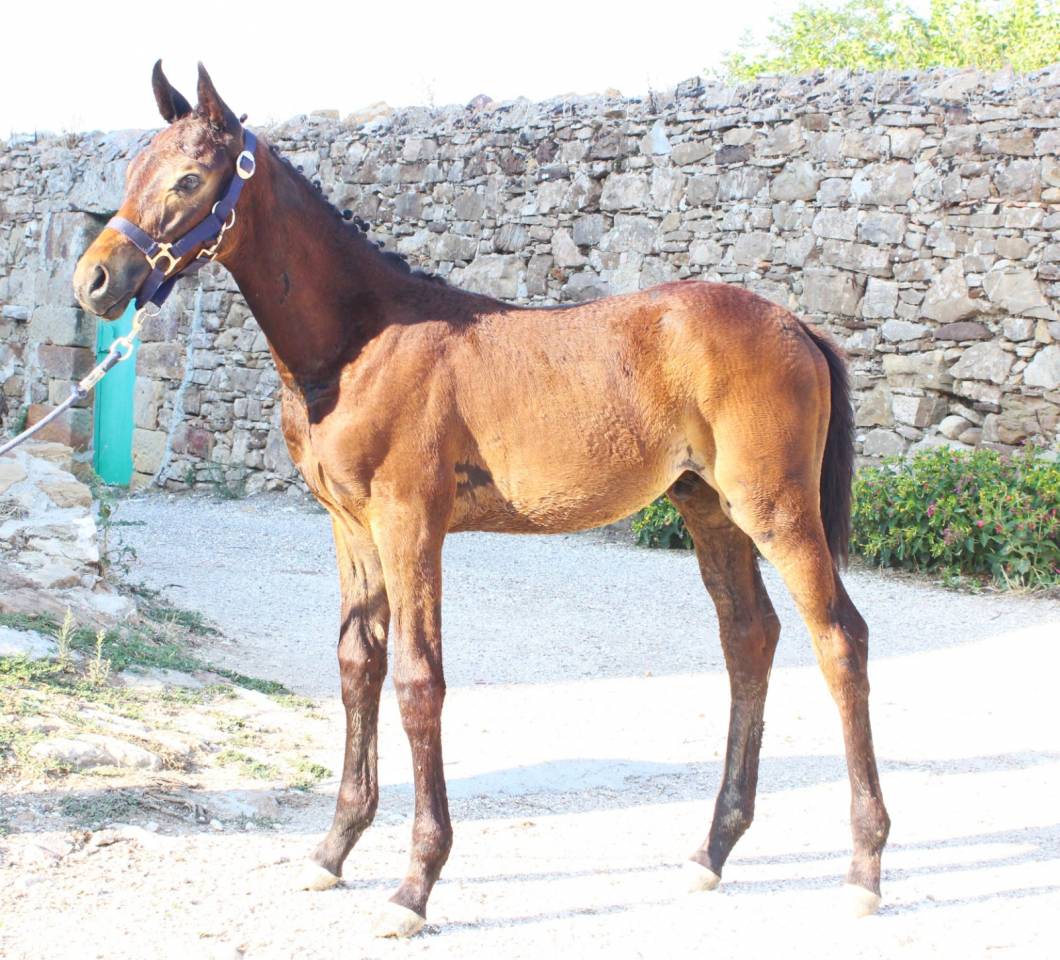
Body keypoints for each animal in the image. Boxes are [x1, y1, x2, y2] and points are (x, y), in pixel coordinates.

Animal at [73, 63, 889, 937]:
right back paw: (713, 850)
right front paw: (333, 850)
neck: (362, 342)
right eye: (133, 169)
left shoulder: (410, 523)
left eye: (189, 179)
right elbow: (357, 664)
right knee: (750, 640)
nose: (94, 280)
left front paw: (414, 885)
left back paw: (864, 867)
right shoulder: (350, 527)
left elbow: (417, 680)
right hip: (709, 511)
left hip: (775, 509)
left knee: (840, 641)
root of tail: (797, 324)